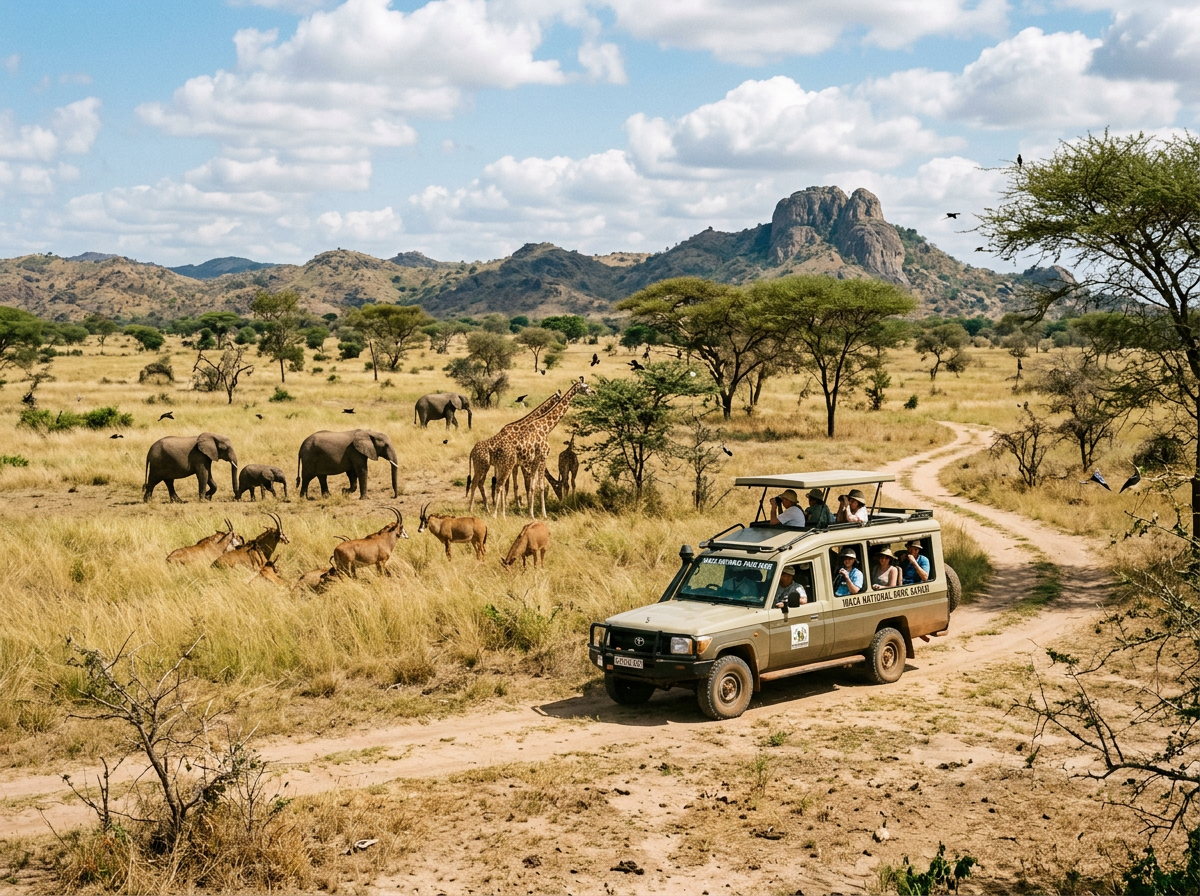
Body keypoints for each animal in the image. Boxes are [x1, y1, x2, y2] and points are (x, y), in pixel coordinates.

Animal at [504, 377, 591, 518]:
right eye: (586, 386)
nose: (593, 392)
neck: (545, 428)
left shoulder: (531, 462)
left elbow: (531, 485)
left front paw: (531, 512)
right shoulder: (541, 457)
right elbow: (538, 486)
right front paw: (542, 514)